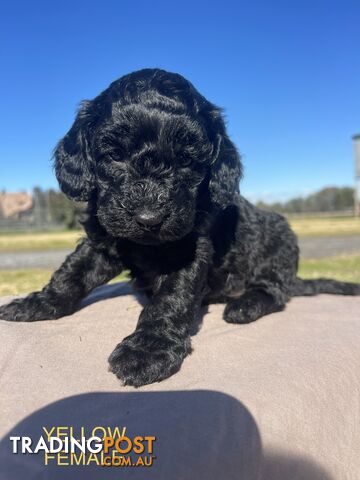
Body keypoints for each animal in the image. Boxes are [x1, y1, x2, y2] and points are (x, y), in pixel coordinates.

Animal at [0, 69, 360, 388]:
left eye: (187, 160)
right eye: (115, 154)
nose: (149, 218)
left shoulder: (189, 249)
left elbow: (170, 299)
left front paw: (147, 350)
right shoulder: (104, 238)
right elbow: (71, 273)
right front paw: (36, 303)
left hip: (280, 240)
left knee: (275, 289)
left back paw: (244, 306)